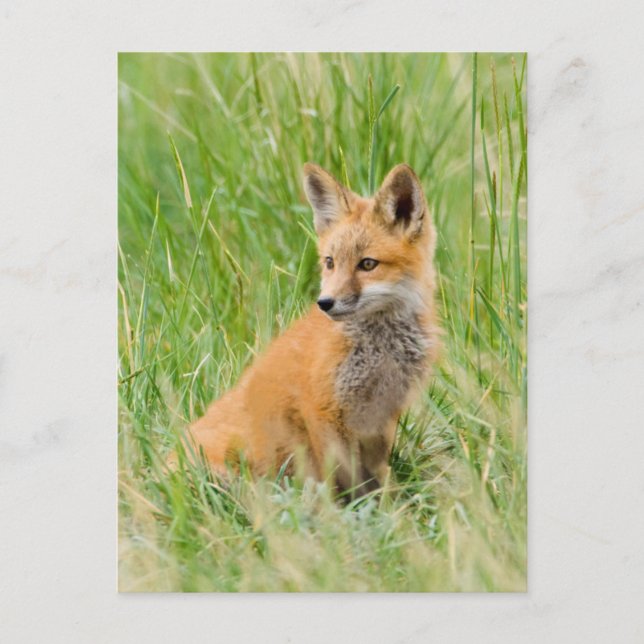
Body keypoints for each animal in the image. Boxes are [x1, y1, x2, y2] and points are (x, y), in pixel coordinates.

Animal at [187, 162, 440, 497]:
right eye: (330, 262)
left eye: (367, 264)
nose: (325, 303)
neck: (380, 350)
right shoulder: (322, 410)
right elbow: (345, 478)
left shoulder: (381, 416)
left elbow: (377, 475)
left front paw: (391, 502)